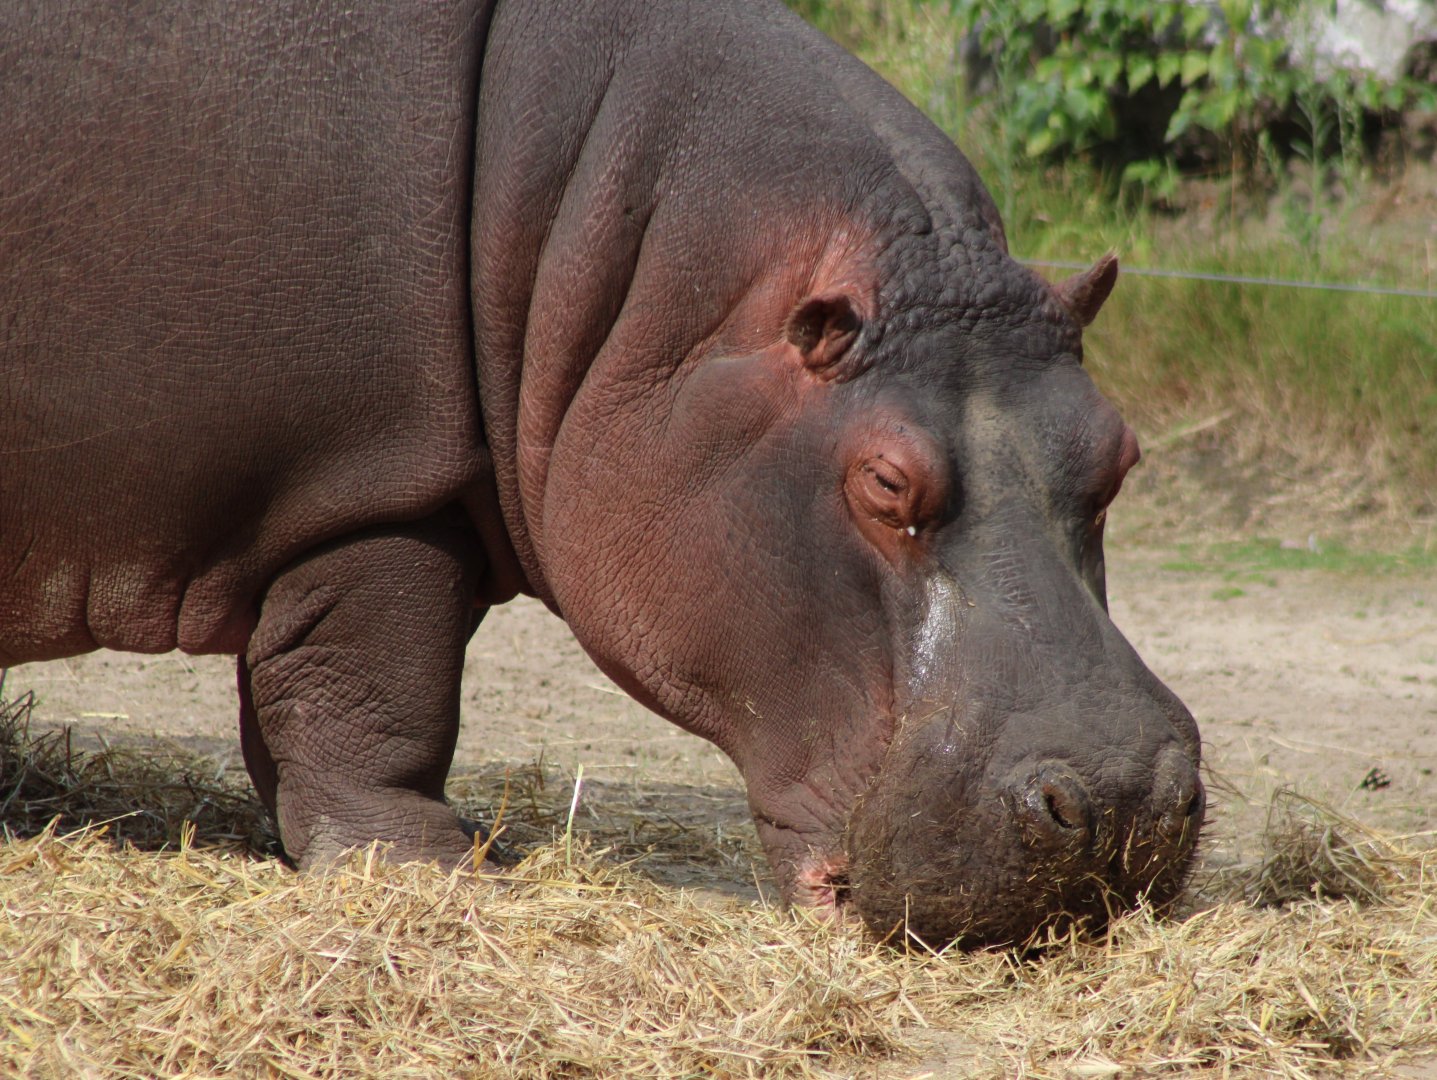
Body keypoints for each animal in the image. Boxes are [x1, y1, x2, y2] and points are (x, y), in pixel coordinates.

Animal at [0, 0, 1203, 946]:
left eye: (1120, 453)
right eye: (884, 485)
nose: (1129, 801)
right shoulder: (378, 486)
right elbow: (376, 692)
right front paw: (438, 868)